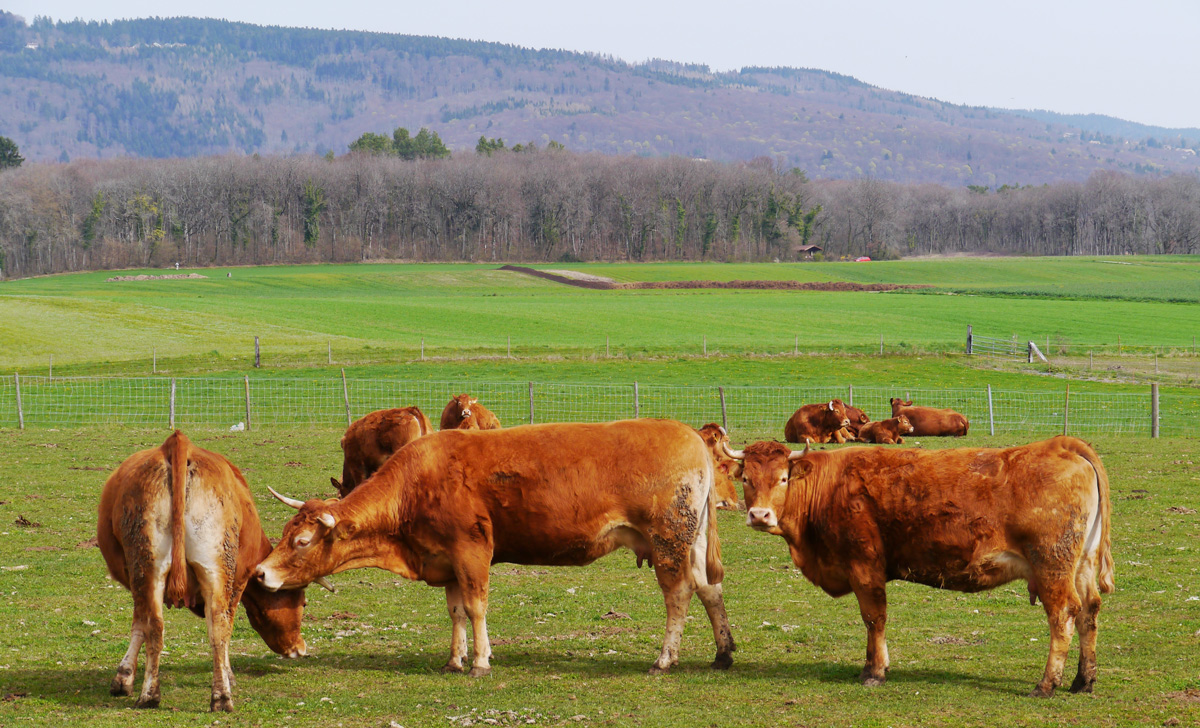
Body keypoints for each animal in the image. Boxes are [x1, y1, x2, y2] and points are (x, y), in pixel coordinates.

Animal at [97, 431, 309, 710]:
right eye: (303, 603)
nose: (301, 648)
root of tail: (177, 443)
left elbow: (140, 625)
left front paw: (124, 678)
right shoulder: (239, 581)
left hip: (151, 567)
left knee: (159, 625)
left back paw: (157, 695)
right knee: (216, 624)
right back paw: (217, 695)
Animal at [258, 419, 734, 681]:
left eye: (301, 542)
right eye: (286, 532)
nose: (261, 572)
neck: (415, 485)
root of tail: (688, 434)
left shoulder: (471, 551)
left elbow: (475, 606)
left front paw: (481, 661)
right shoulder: (446, 560)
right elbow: (455, 612)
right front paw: (455, 659)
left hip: (668, 542)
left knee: (679, 595)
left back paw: (665, 659)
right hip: (689, 543)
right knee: (709, 589)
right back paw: (723, 652)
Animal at [720, 436, 1113, 695]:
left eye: (783, 478)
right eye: (746, 479)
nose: (759, 515)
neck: (830, 487)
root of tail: (1059, 444)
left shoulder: (864, 566)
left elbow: (874, 618)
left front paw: (874, 671)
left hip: (1052, 566)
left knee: (1063, 615)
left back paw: (1047, 684)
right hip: (1081, 566)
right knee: (1088, 612)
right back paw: (1083, 680)